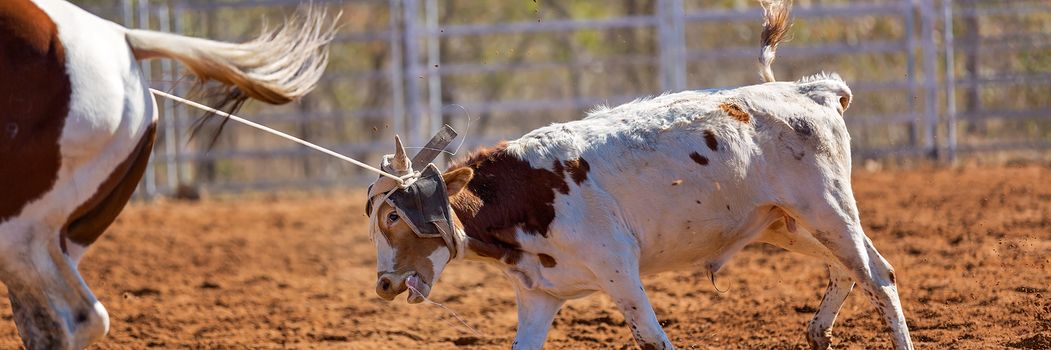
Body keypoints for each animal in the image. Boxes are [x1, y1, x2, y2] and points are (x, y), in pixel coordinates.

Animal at [367, 1, 912, 346]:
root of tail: (811, 92)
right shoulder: (538, 296)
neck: (523, 194)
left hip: (828, 210)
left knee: (877, 276)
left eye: (393, 217)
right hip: (786, 224)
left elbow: (652, 338)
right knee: (845, 270)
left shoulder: (619, 271)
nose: (384, 285)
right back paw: (819, 331)